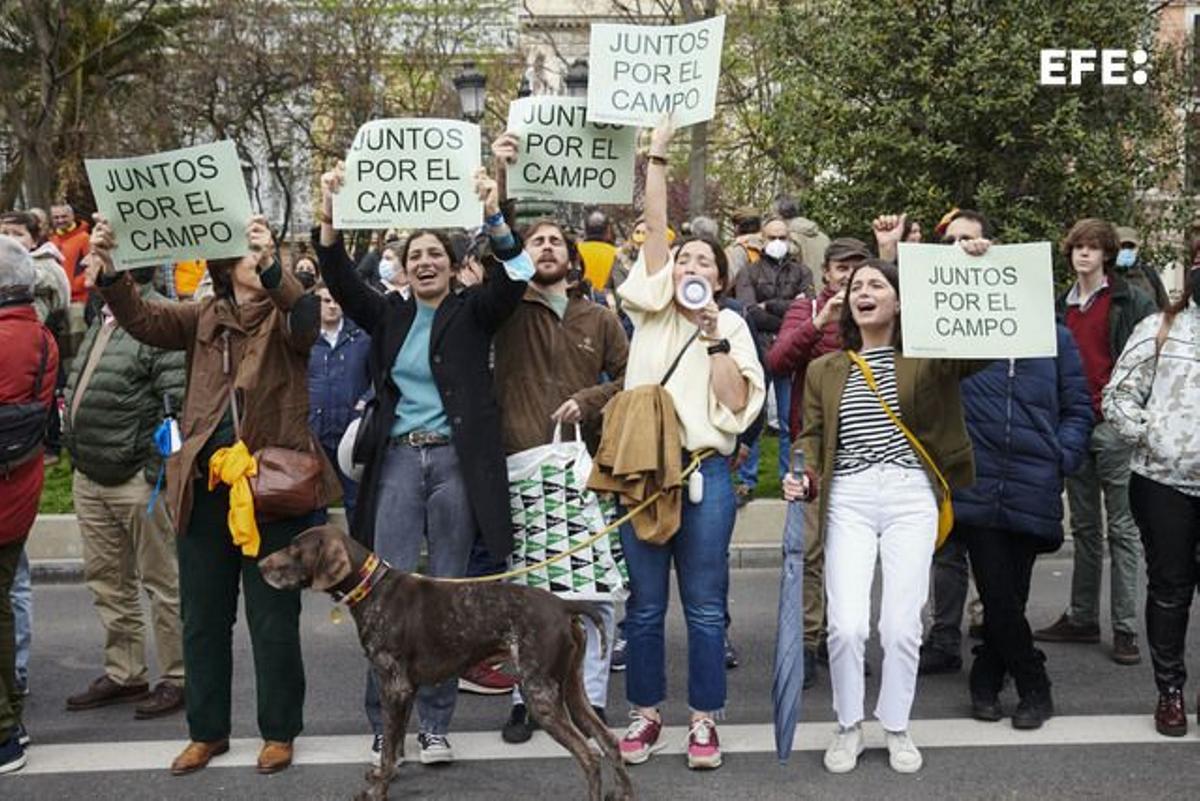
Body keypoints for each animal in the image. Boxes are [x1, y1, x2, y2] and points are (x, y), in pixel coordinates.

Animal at [258, 525, 633, 801]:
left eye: (295, 549)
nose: (260, 565)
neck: (373, 589)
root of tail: (563, 606)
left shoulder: (394, 686)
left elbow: (388, 748)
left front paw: (377, 790)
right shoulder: (405, 690)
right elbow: (394, 745)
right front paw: (385, 776)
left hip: (539, 693)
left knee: (589, 757)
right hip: (571, 688)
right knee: (609, 742)